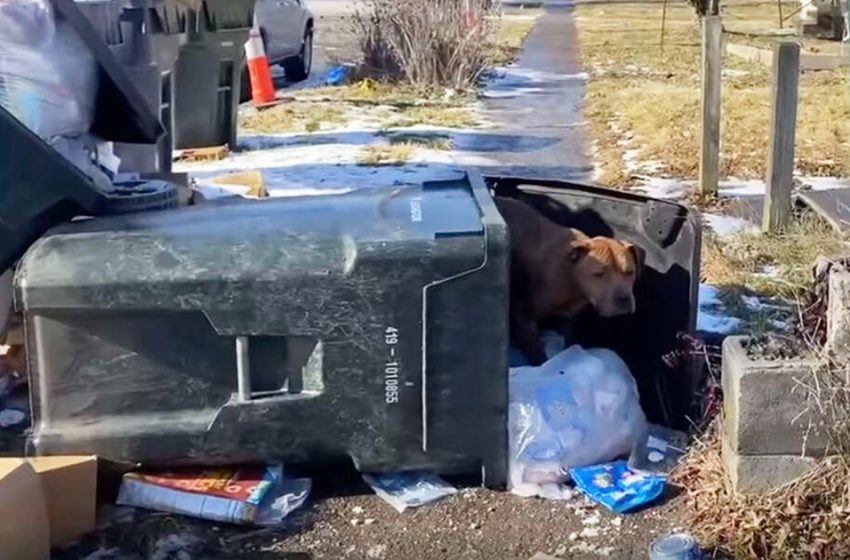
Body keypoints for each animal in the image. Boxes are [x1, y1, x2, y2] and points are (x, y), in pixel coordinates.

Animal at [490, 198, 644, 368]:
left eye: (630, 272)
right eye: (599, 274)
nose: (624, 299)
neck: (570, 276)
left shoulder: (569, 317)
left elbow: (568, 341)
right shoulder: (525, 318)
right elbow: (537, 353)